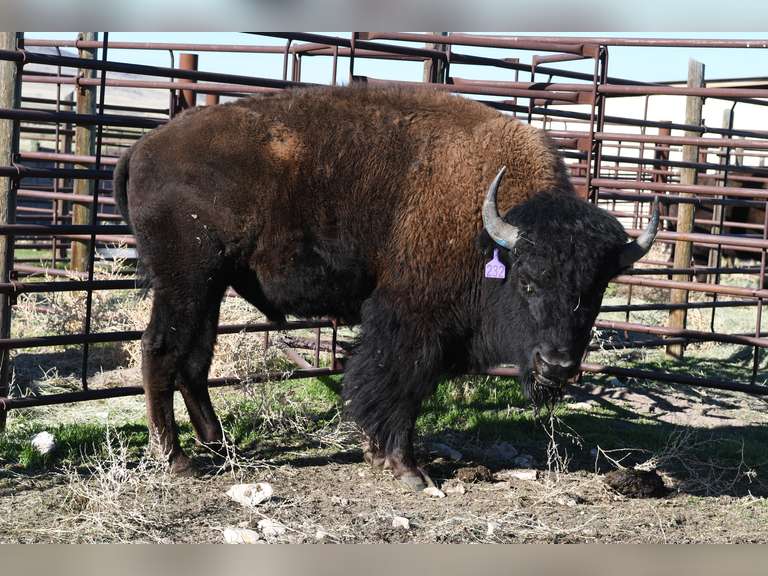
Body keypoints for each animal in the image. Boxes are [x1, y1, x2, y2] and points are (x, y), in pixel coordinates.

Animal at [113, 85, 658, 490]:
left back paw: (218, 445)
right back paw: (177, 459)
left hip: (210, 286)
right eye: (526, 281)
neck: (489, 231)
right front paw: (407, 468)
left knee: (195, 360)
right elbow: (399, 383)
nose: (557, 365)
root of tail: (141, 148)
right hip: (185, 281)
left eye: (596, 291)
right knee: (160, 350)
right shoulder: (413, 320)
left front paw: (384, 457)